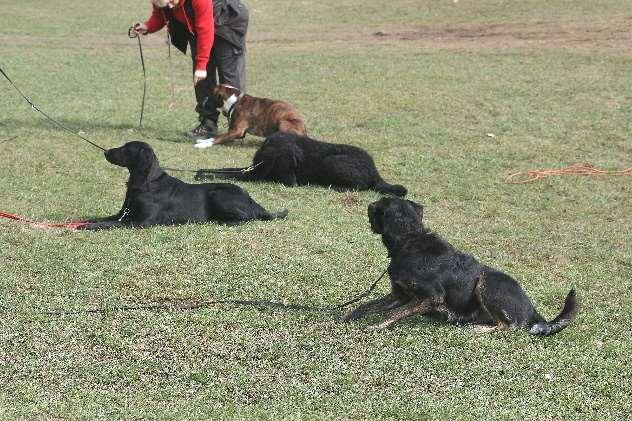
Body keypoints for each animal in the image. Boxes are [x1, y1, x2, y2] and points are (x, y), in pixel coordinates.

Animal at [77, 142, 288, 230]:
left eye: (126, 149)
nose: (106, 152)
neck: (146, 184)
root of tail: (252, 200)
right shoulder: (123, 214)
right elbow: (102, 218)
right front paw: (87, 222)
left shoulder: (142, 222)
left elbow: (111, 224)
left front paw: (91, 226)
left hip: (218, 194)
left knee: (245, 218)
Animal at [195, 132, 408, 196]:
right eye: (288, 162)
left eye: (294, 163)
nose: (294, 183)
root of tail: (376, 172)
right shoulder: (251, 171)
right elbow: (223, 170)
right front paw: (201, 172)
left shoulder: (252, 175)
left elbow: (225, 173)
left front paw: (204, 175)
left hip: (332, 161)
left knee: (361, 185)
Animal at [344, 195, 580, 336]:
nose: (369, 205)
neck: (410, 240)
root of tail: (535, 315)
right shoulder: (399, 294)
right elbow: (368, 305)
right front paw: (349, 316)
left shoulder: (431, 297)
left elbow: (393, 314)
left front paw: (375, 325)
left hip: (486, 281)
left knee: (507, 326)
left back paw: (476, 328)